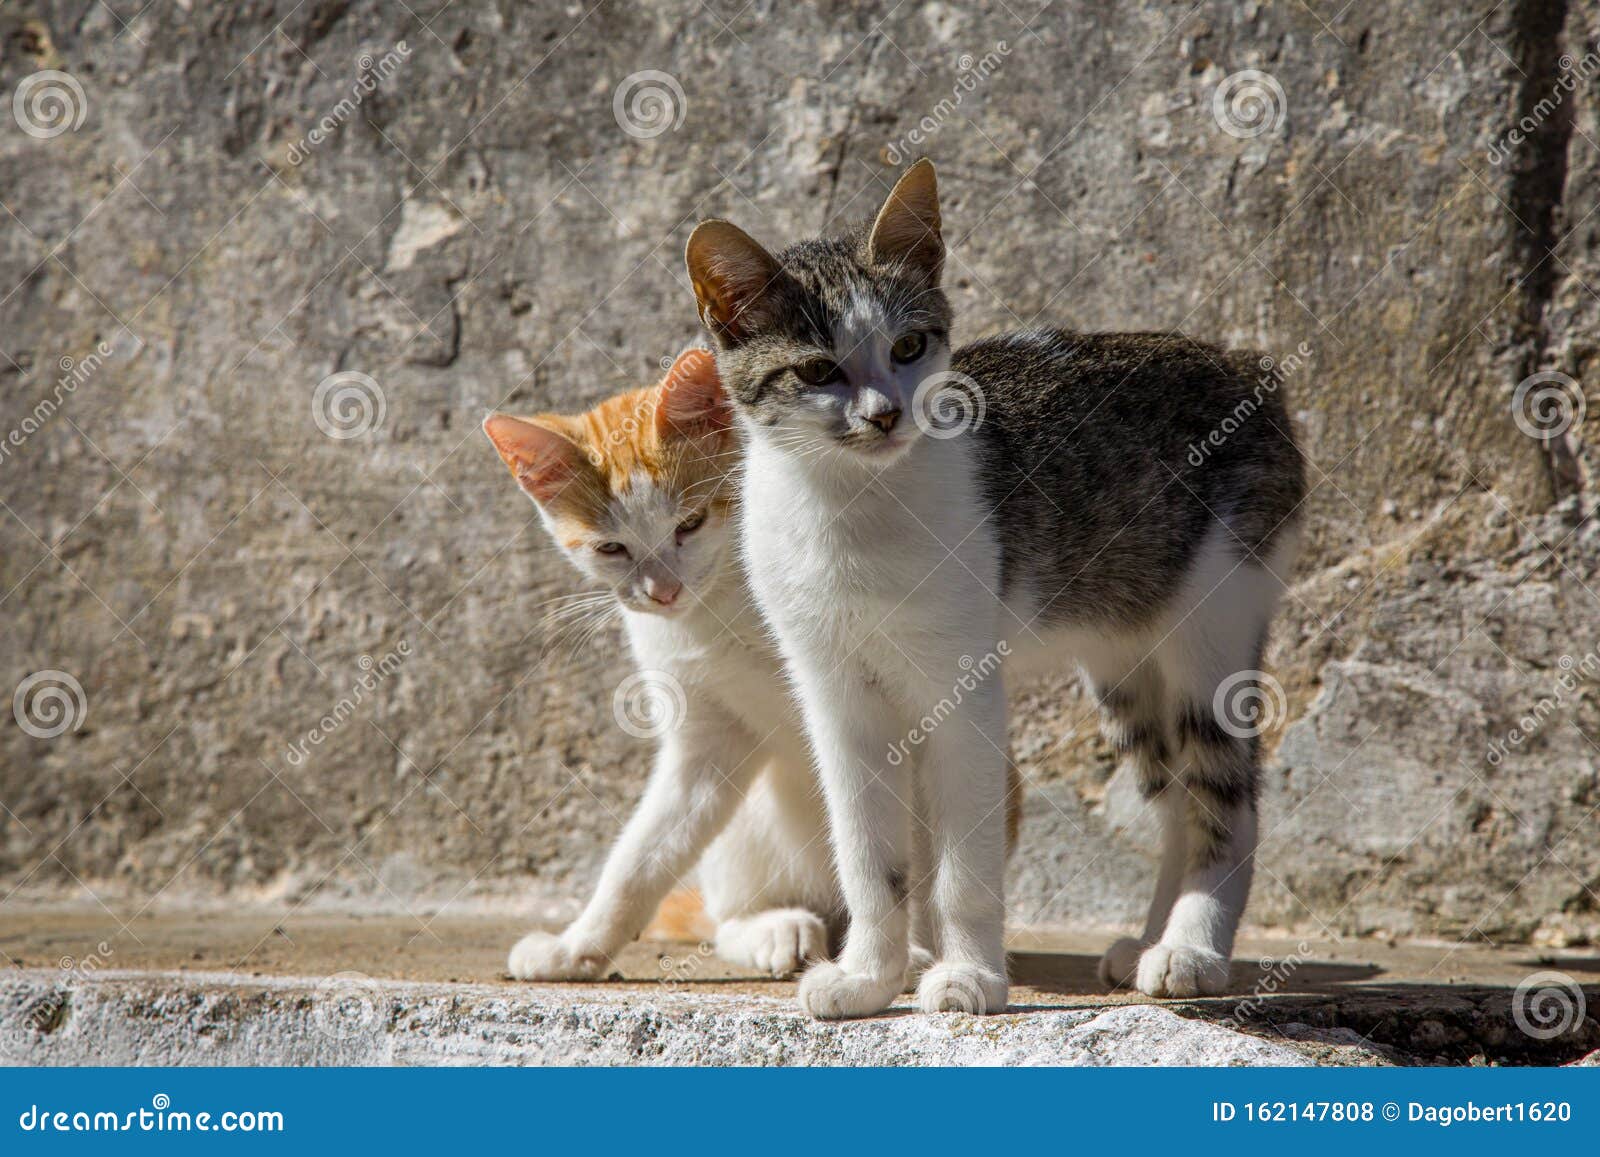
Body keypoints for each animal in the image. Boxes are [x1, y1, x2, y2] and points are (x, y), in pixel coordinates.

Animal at [483, 350, 838, 979]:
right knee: (723, 920)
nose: (663, 592)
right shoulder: (706, 739)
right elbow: (642, 856)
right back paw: (776, 929)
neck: (719, 610)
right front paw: (576, 948)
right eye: (611, 548)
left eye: (690, 523)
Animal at [684, 164, 1299, 1024]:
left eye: (910, 347)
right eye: (816, 370)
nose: (885, 413)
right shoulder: (836, 697)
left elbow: (961, 865)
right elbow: (868, 856)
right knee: (1177, 800)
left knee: (1226, 804)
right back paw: (1151, 937)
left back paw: (1191, 949)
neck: (852, 508)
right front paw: (869, 976)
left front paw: (969, 974)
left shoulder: (963, 691)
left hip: (1214, 627)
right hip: (1127, 661)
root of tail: (1241, 362)